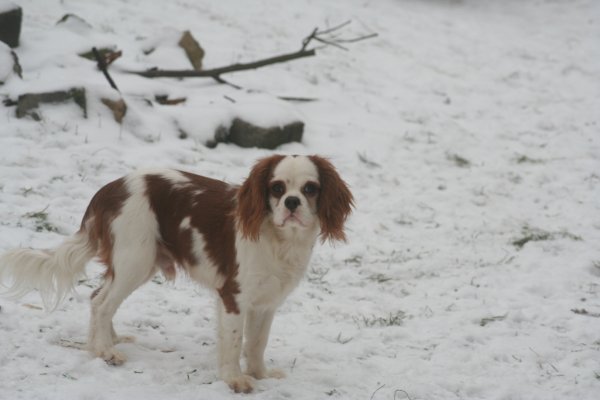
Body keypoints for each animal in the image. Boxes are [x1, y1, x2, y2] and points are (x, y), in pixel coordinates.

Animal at [0, 155, 354, 392]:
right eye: (277, 188)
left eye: (310, 188)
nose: (292, 202)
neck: (279, 239)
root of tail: (109, 189)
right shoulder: (233, 296)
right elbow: (235, 341)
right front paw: (234, 379)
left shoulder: (266, 303)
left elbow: (257, 343)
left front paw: (260, 375)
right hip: (135, 260)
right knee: (101, 302)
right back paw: (104, 351)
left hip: (140, 263)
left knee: (98, 296)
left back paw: (106, 340)